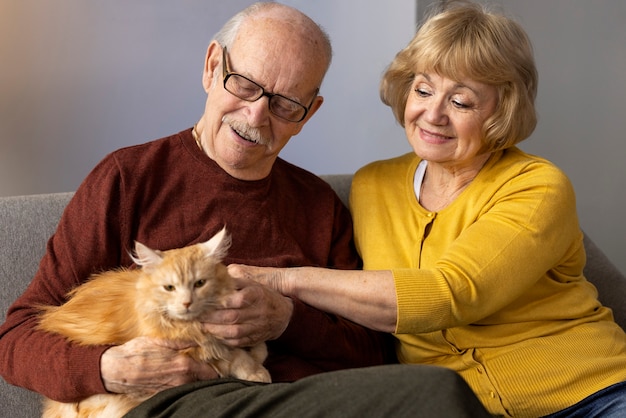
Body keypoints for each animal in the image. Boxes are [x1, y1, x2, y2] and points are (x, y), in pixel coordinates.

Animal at [36, 229, 270, 418]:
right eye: (169, 288)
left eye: (200, 283)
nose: (186, 302)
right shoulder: (195, 351)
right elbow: (236, 357)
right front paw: (258, 373)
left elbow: (254, 349)